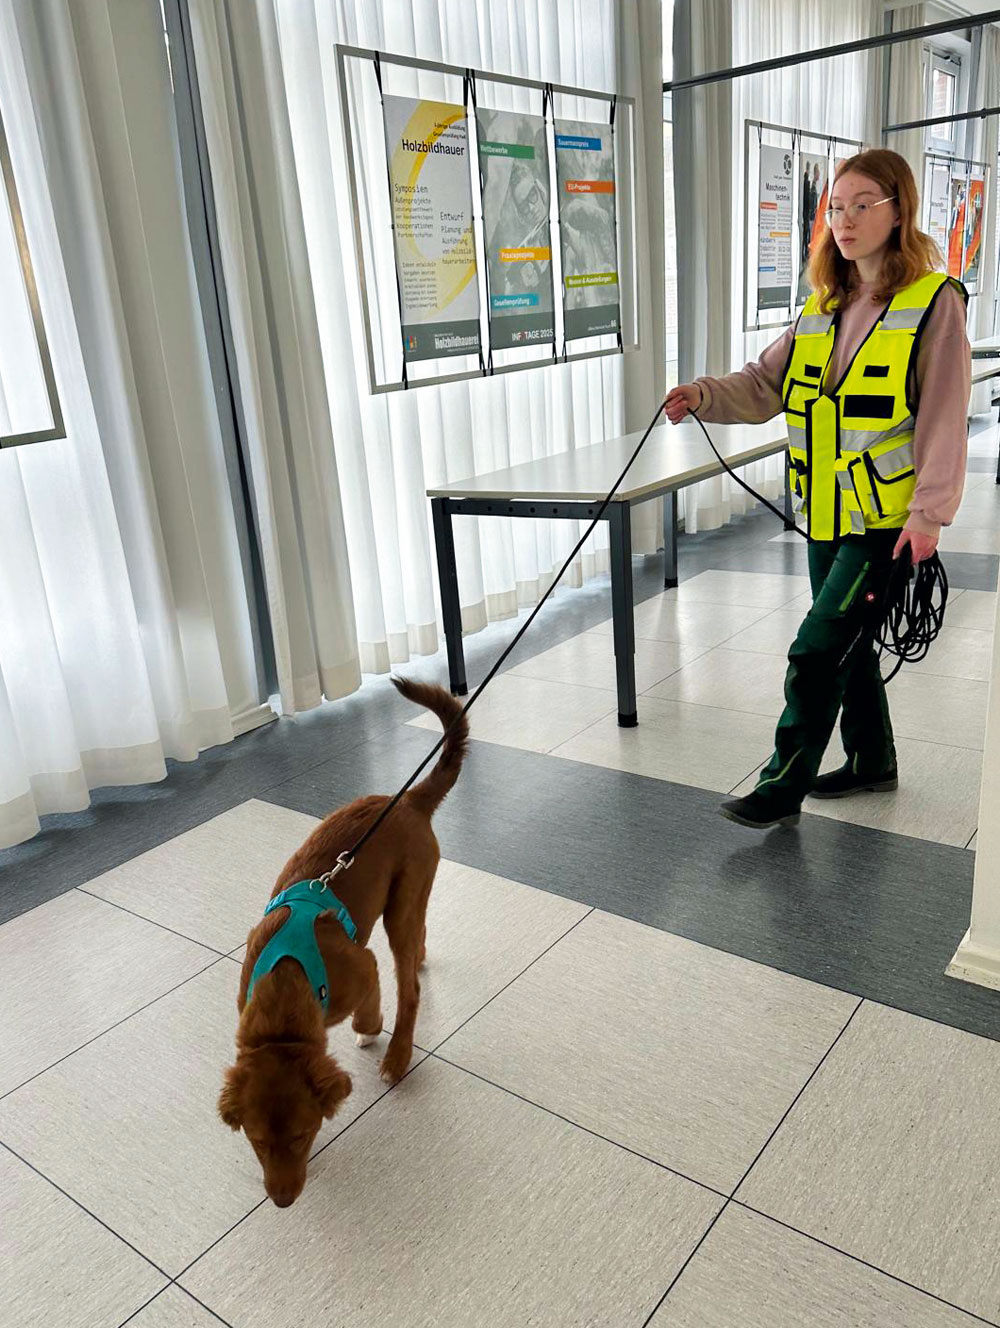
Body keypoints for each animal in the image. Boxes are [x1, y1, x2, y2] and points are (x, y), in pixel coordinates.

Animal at [218, 677, 468, 1207]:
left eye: (302, 1136)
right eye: (256, 1142)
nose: (282, 1201)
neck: (284, 984)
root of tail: (407, 800)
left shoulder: (363, 965)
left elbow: (371, 1003)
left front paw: (369, 1029)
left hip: (399, 906)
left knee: (409, 990)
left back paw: (397, 1056)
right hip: (410, 903)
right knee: (421, 937)